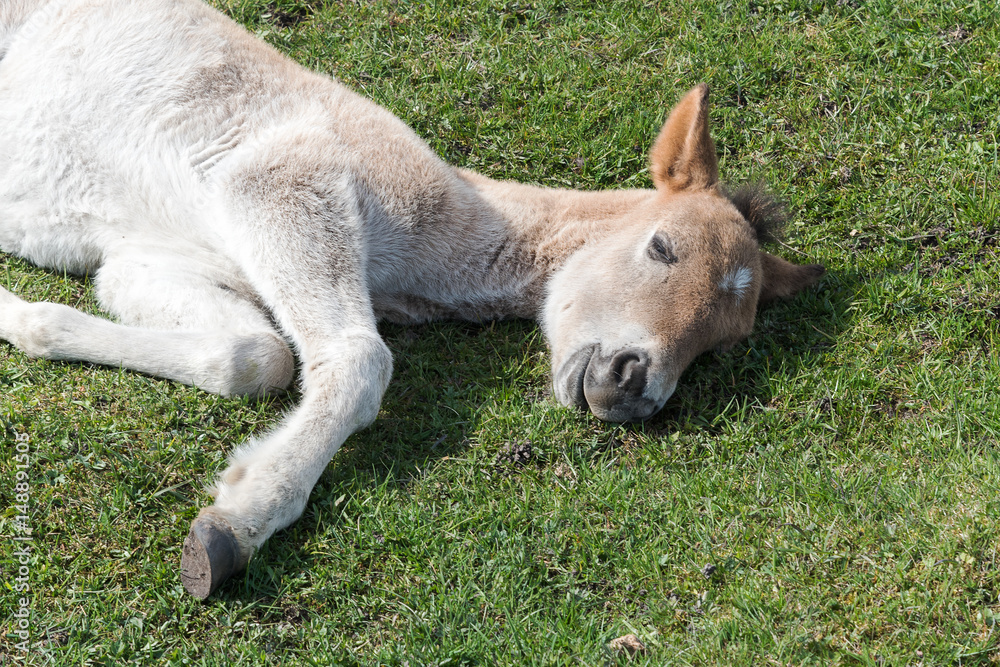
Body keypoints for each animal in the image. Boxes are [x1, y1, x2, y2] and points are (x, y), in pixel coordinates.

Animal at [0, 0, 824, 598]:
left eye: (724, 340)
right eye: (661, 246)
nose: (632, 386)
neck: (424, 255)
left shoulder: (148, 257)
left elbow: (251, 356)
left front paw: (20, 317)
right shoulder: (279, 181)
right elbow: (355, 359)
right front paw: (235, 526)